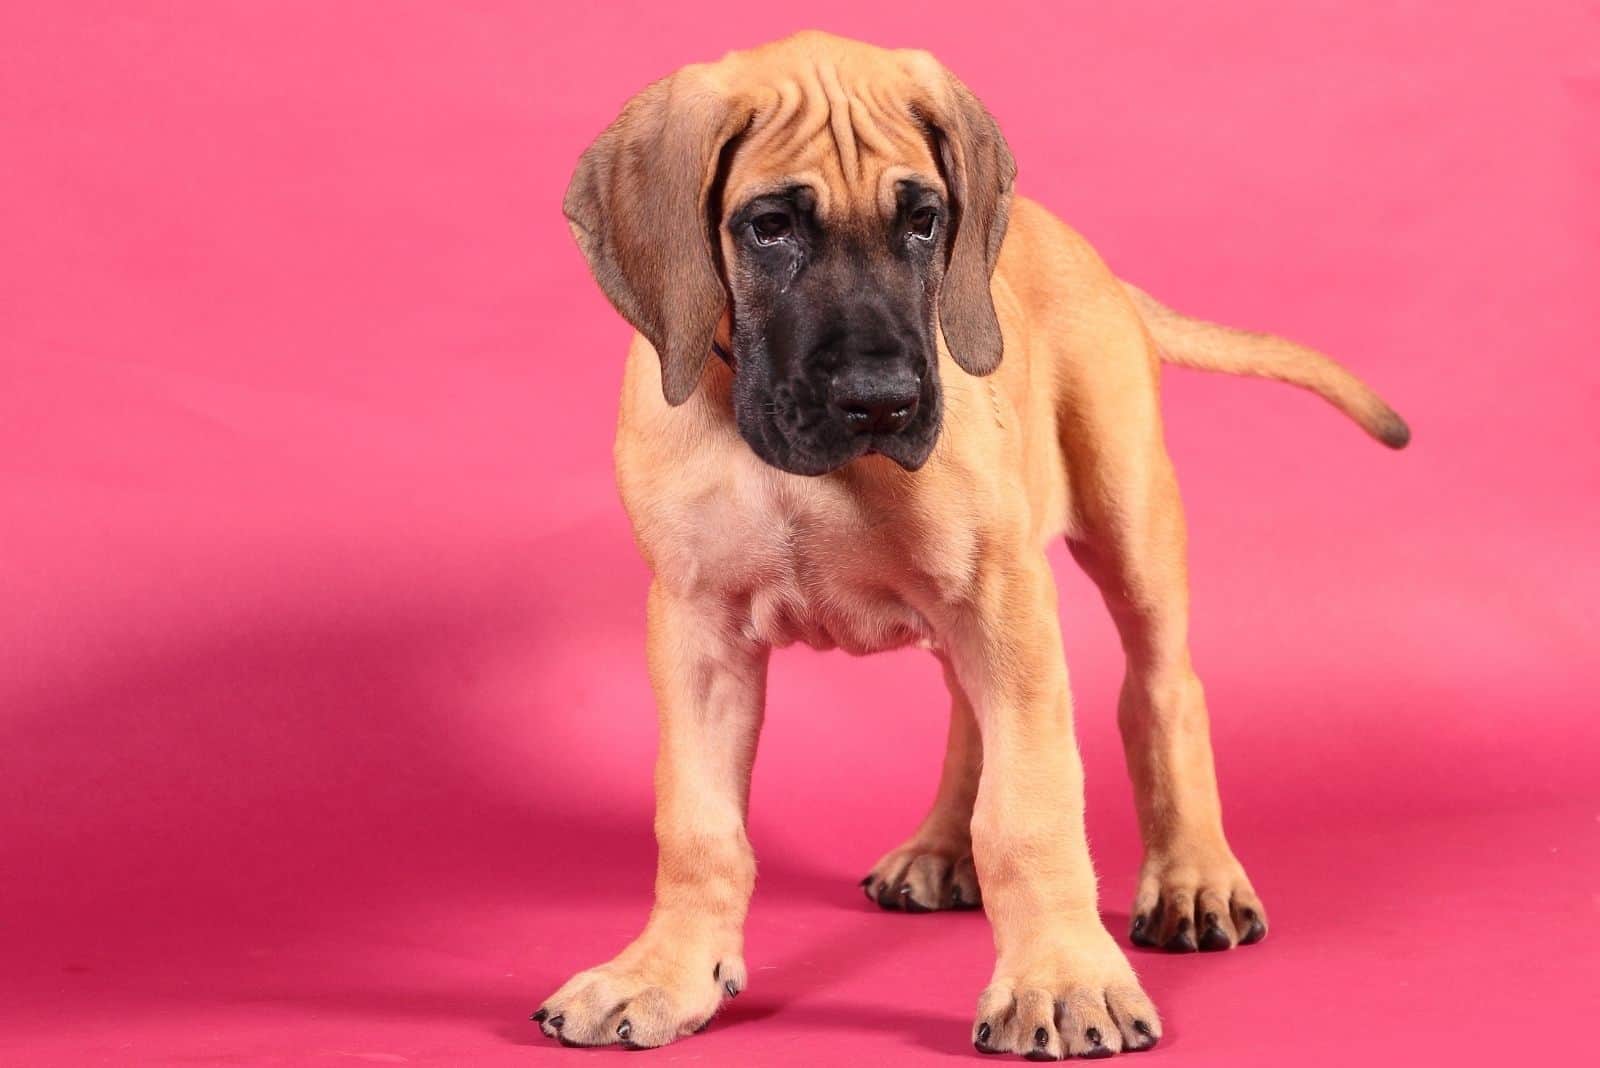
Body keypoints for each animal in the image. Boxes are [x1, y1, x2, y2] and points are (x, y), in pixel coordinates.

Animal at [544, 29, 1408, 1055]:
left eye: (925, 223)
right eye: (770, 228)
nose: (882, 401)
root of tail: (1086, 255)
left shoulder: (1005, 596)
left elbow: (1030, 807)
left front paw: (1063, 981)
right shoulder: (697, 627)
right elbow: (697, 822)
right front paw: (667, 971)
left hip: (1128, 524)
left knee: (1162, 687)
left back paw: (1194, 875)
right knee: (972, 711)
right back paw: (940, 846)